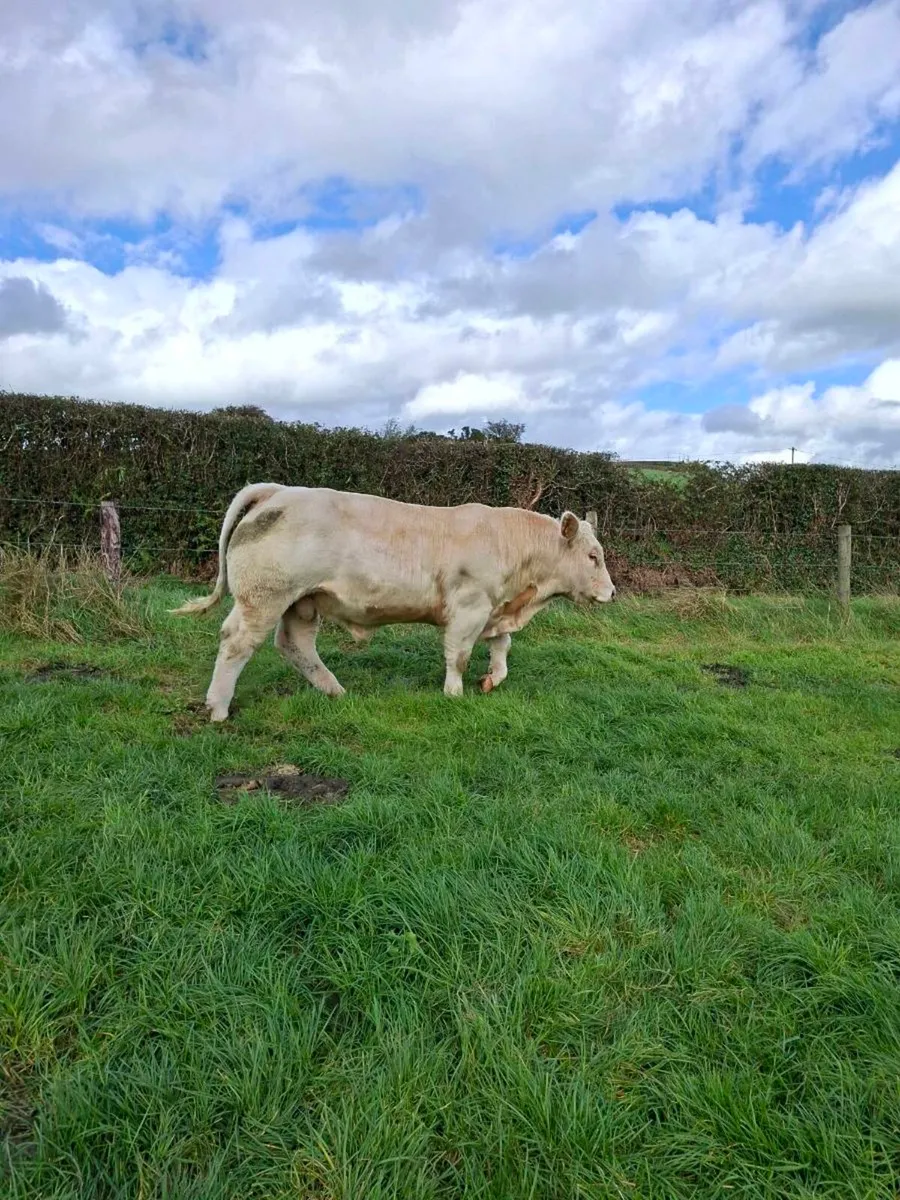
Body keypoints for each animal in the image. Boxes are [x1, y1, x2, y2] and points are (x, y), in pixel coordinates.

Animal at [170, 483, 616, 721]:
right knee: (236, 642)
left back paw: (335, 691)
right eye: (593, 556)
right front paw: (454, 694)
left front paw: (492, 680)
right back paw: (218, 707)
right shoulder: (469, 607)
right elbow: (458, 656)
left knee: (295, 645)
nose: (612, 592)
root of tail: (277, 491)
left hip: (303, 601)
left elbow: (501, 650)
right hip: (263, 598)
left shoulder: (494, 610)